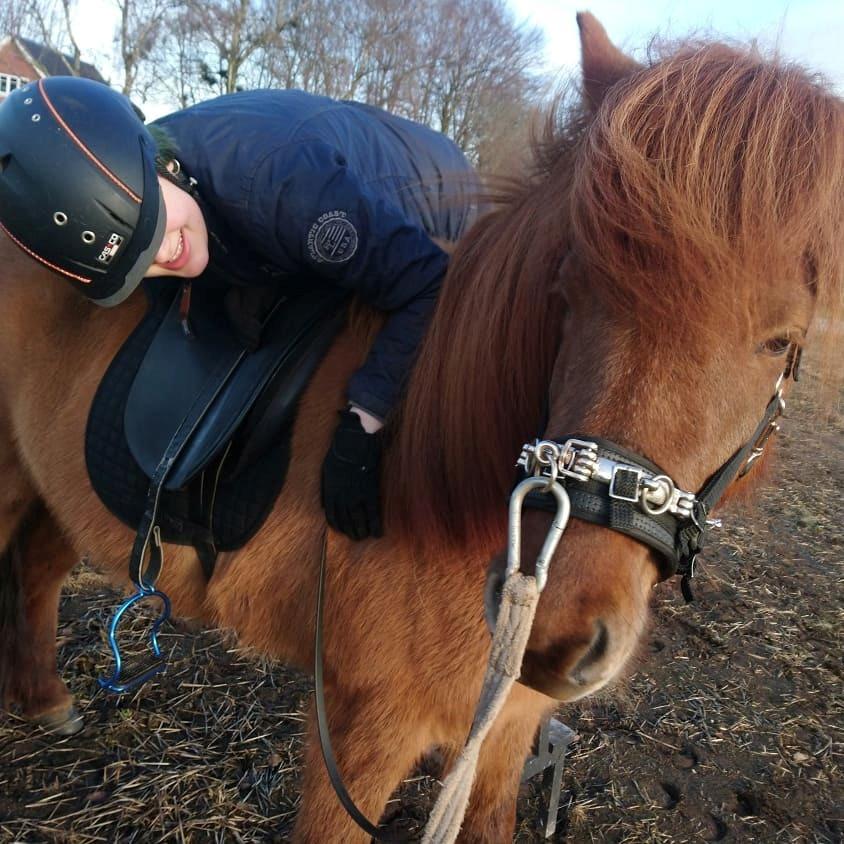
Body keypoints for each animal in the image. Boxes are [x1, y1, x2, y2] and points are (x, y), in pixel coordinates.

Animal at [1, 14, 844, 844]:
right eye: (569, 288)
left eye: (781, 341)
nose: (558, 633)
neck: (432, 476)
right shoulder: (365, 729)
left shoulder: (502, 733)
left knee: (38, 566)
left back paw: (46, 699)